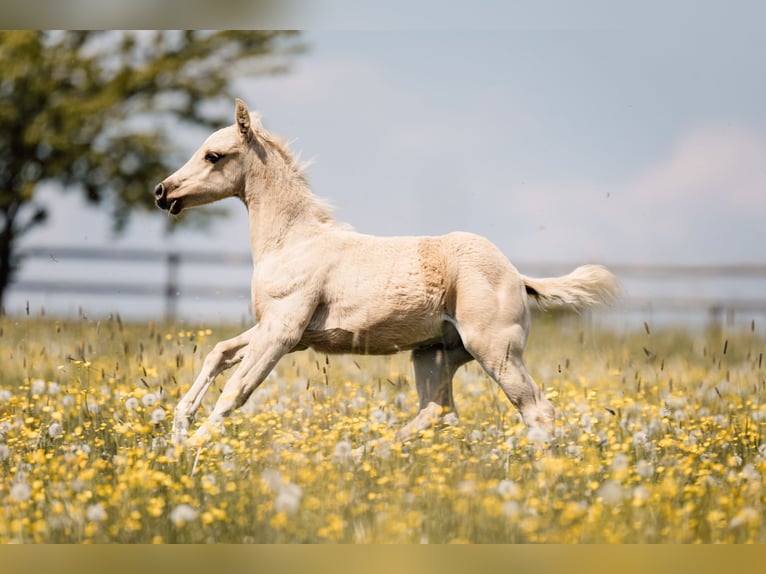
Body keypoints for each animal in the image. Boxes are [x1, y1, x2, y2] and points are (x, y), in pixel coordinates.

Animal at [154, 99, 621, 449]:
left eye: (214, 155)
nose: (162, 191)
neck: (293, 242)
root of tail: (518, 276)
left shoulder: (282, 333)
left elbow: (236, 391)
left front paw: (191, 449)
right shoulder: (276, 328)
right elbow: (218, 354)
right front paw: (178, 430)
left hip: (495, 350)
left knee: (537, 411)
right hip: (434, 354)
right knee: (437, 412)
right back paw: (363, 454)